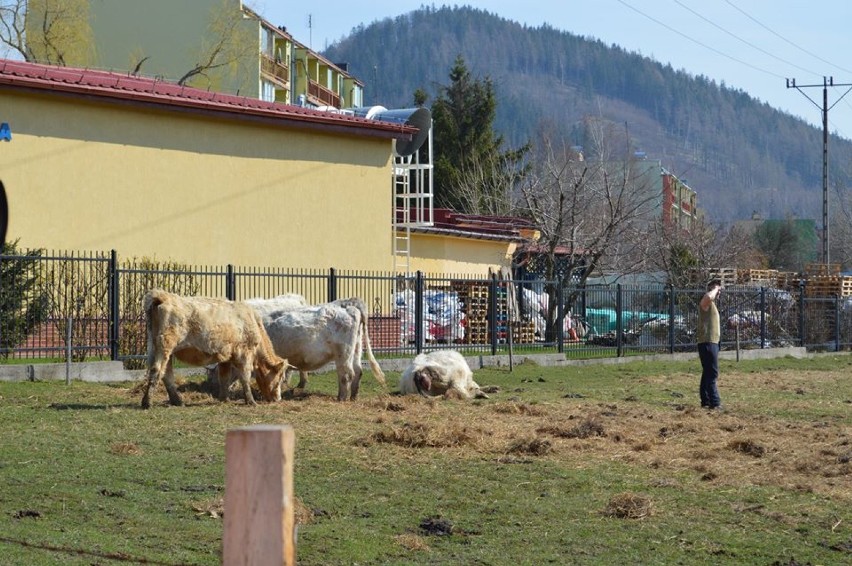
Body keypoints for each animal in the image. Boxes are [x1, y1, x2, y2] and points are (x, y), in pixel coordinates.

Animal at [141, 290, 286, 410]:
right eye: (280, 377)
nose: (278, 399)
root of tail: (163, 296)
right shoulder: (245, 353)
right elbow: (245, 377)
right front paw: (251, 401)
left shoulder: (226, 357)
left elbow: (224, 377)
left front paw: (224, 398)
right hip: (165, 346)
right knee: (157, 370)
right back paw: (148, 402)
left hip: (154, 347)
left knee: (166, 374)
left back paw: (177, 401)